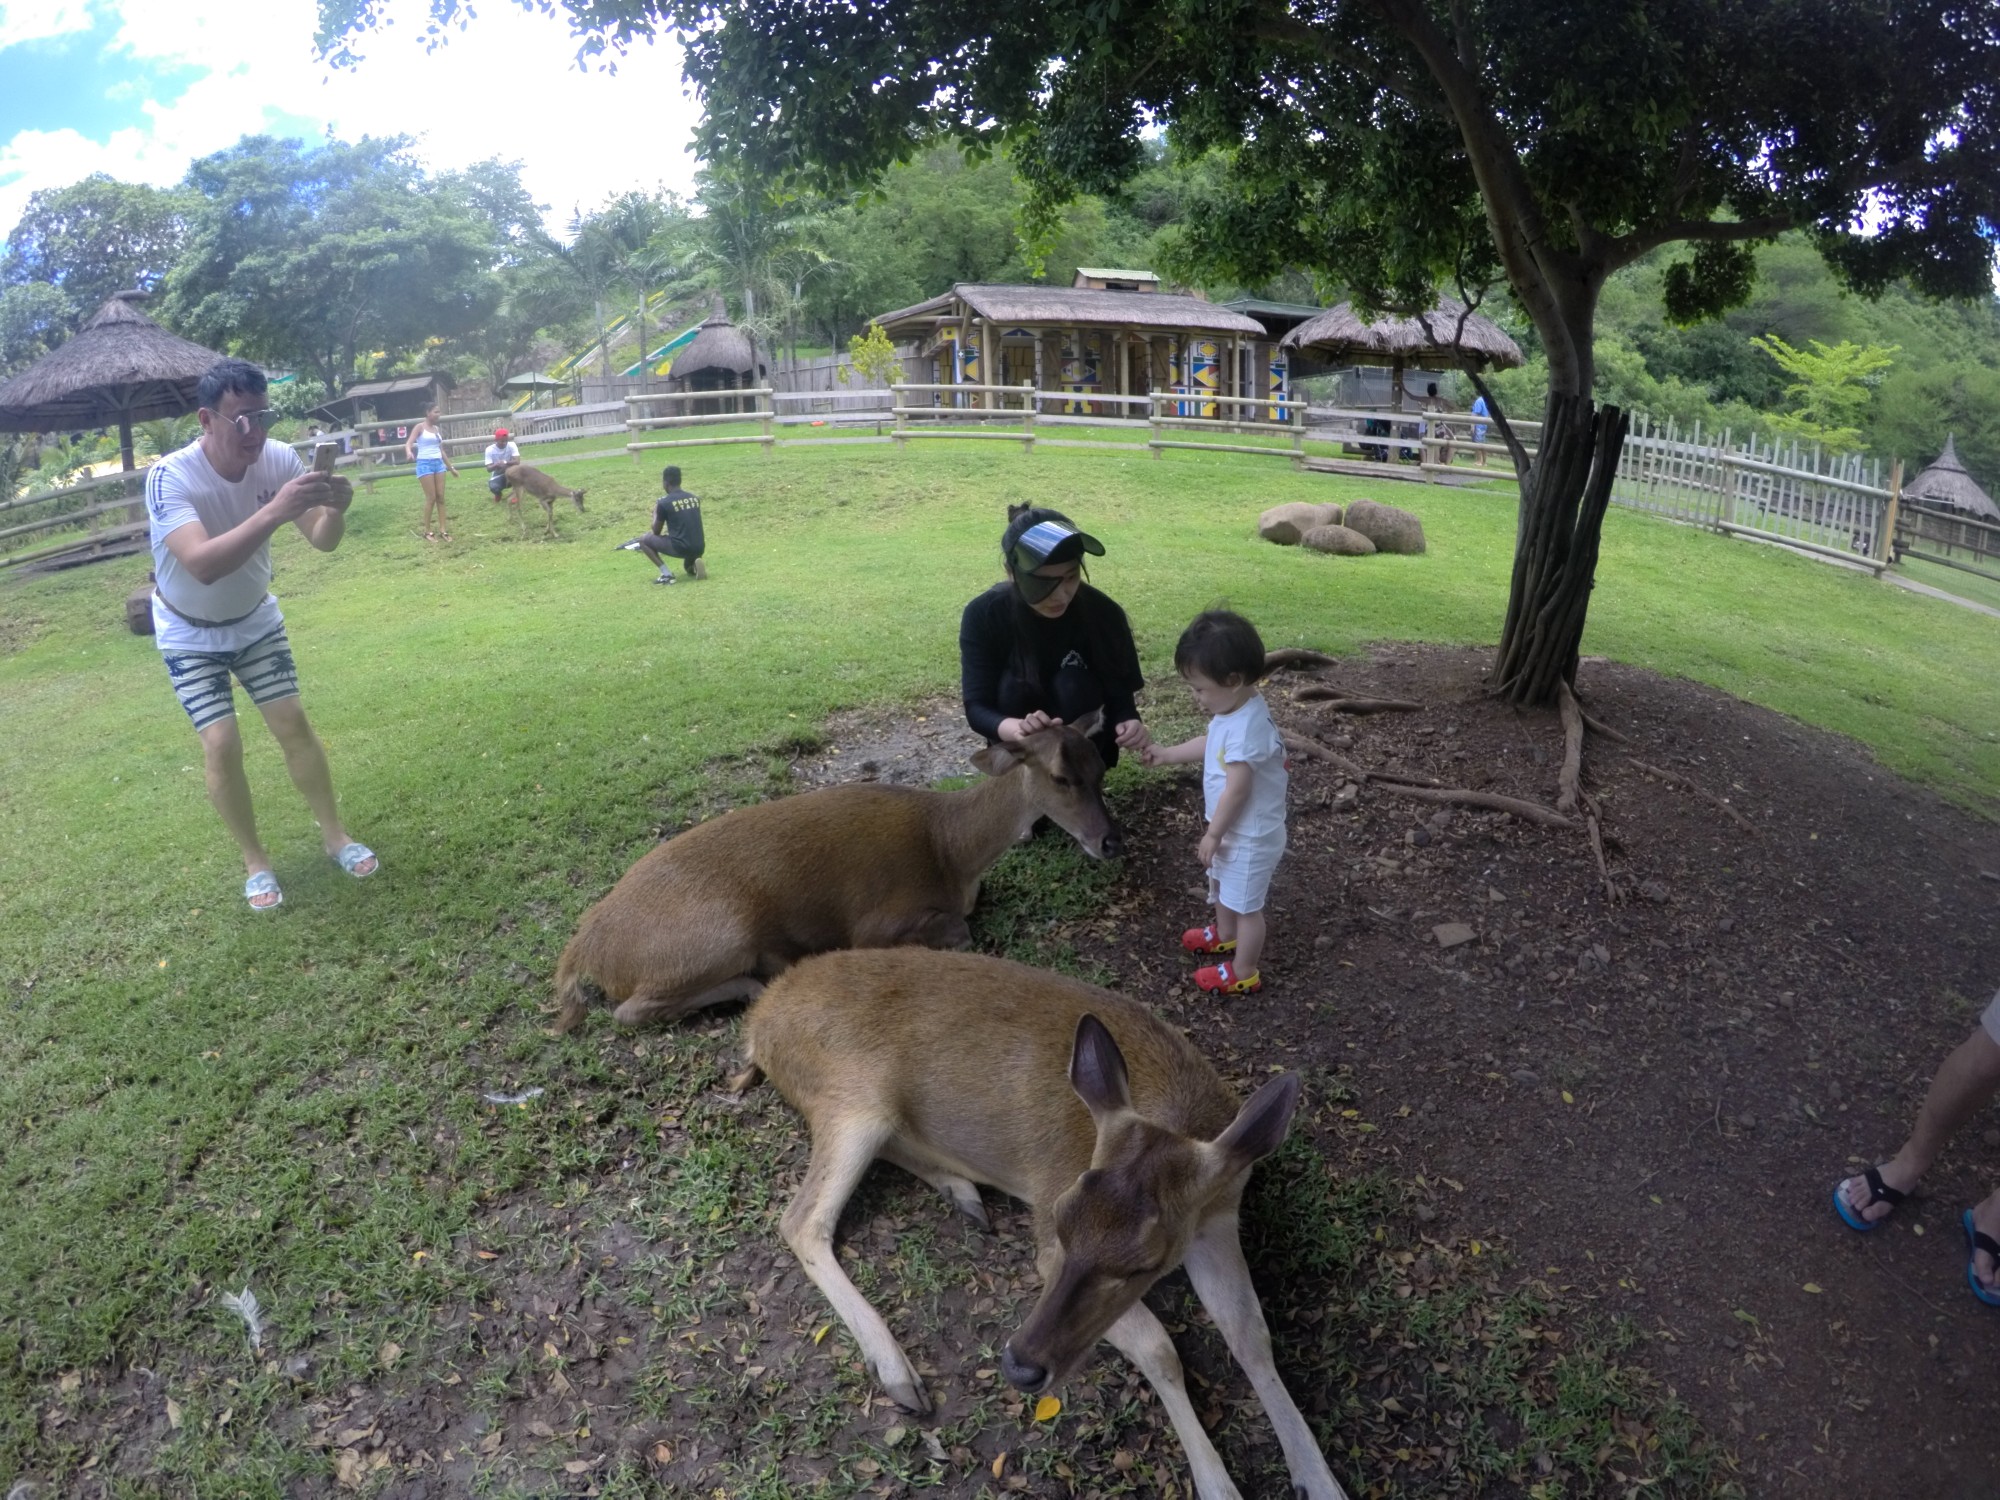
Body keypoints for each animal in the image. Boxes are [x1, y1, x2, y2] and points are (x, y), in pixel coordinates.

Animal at [552, 712, 1128, 1040]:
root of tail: (585, 947)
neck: (952, 851)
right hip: (714, 935)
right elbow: (958, 931)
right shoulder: (874, 922)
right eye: (1060, 777)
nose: (1110, 841)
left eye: (1102, 767)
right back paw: (761, 975)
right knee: (630, 1011)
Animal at [736, 952, 1360, 1500]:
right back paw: (900, 1374)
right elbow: (1160, 1349)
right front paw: (1218, 1486)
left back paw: (962, 1193)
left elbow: (1250, 1333)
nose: (1020, 1366)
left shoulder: (1219, 1219)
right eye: (1059, 1223)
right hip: (850, 1098)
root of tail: (758, 1021)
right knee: (801, 1218)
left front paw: (1319, 1480)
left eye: (1148, 1263)